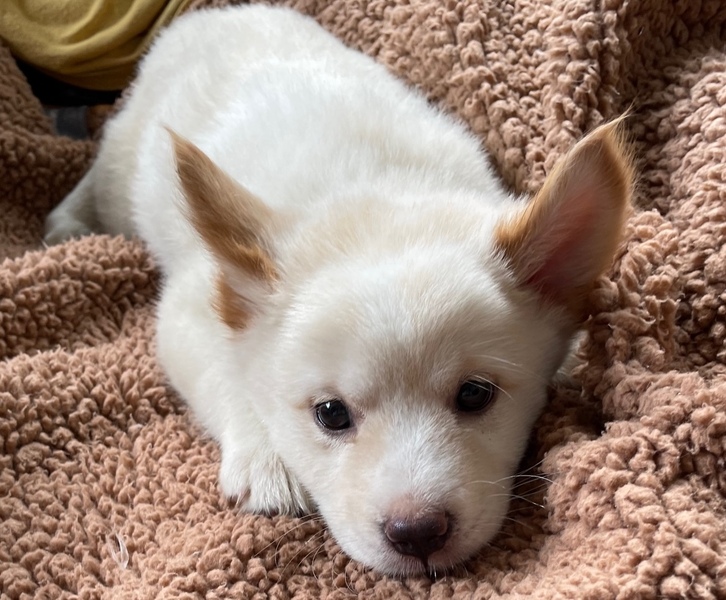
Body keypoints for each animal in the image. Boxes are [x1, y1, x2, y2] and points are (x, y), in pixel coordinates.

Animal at [44, 4, 633, 576]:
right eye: (331, 413)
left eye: (475, 395)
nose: (417, 533)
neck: (377, 193)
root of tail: (205, 15)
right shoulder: (185, 312)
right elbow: (223, 370)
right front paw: (267, 456)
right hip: (123, 162)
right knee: (97, 176)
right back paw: (64, 222)